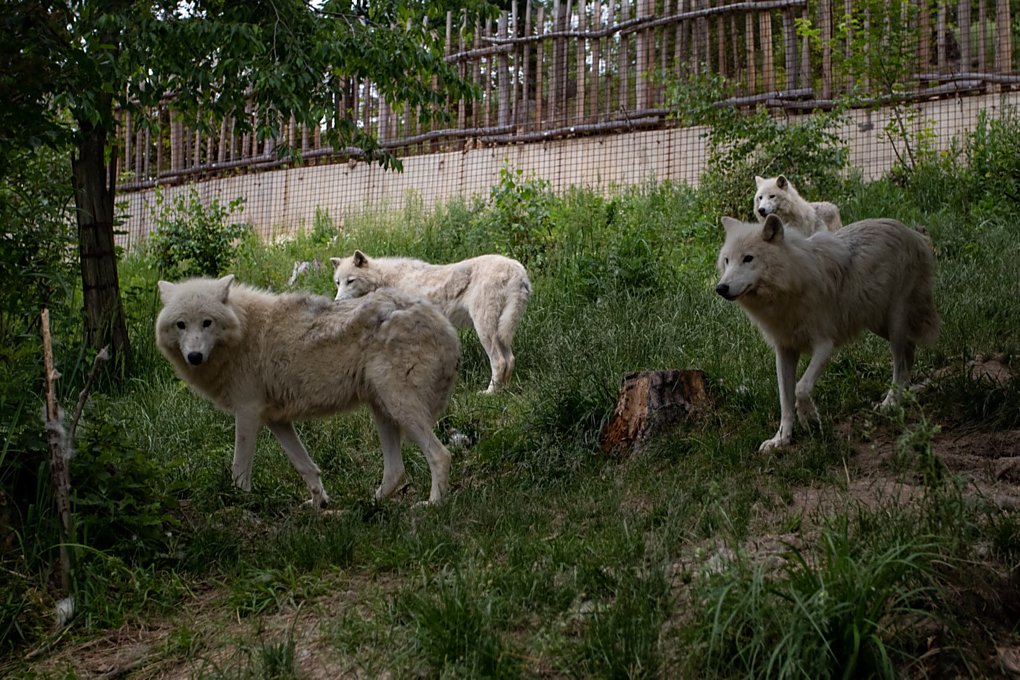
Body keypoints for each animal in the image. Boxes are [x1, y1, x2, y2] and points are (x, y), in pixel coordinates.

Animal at [154, 275, 459, 505]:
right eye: (181, 325)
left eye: (207, 322)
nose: (194, 356)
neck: (243, 332)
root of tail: (446, 325)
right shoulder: (276, 420)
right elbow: (305, 465)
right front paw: (319, 503)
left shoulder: (247, 413)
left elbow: (239, 468)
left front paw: (240, 502)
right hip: (382, 410)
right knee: (396, 471)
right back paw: (369, 505)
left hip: (398, 406)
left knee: (440, 455)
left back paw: (432, 505)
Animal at [332, 251, 534, 393]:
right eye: (338, 282)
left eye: (350, 281)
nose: (337, 302)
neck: (384, 279)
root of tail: (517, 269)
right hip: (500, 331)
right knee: (510, 359)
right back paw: (503, 392)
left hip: (484, 329)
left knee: (499, 361)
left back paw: (489, 393)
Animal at [714, 215, 934, 452]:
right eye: (727, 260)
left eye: (748, 258)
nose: (721, 288)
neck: (789, 286)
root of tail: (912, 232)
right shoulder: (784, 350)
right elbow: (785, 398)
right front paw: (781, 439)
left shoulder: (825, 345)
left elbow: (801, 388)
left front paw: (809, 418)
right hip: (878, 323)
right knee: (909, 352)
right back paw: (902, 396)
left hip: (894, 324)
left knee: (901, 362)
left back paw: (890, 403)